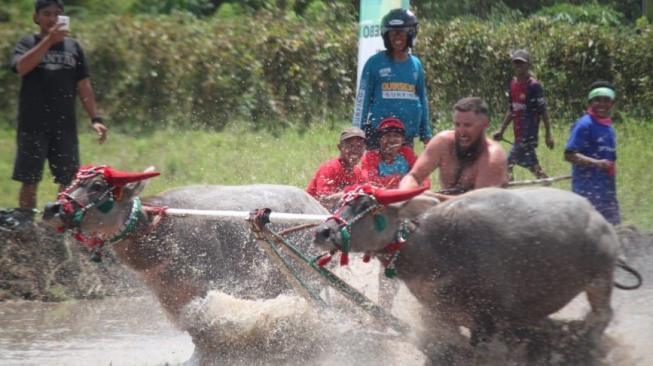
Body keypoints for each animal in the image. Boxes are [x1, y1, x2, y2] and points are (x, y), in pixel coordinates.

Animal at [314, 184, 628, 358]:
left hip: (600, 279)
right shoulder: (440, 317)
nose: (322, 231)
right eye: (341, 202)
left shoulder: (486, 321)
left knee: (601, 317)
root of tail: (597, 217)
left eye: (369, 206)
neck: (436, 248)